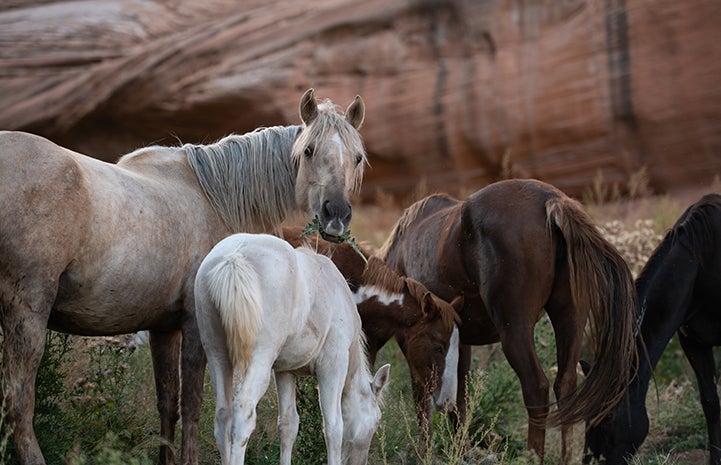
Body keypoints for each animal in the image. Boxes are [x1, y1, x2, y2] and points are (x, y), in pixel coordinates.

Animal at [0, 88, 366, 464]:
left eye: (357, 158)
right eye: (309, 150)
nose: (336, 216)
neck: (213, 197)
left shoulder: (164, 329)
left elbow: (167, 403)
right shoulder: (194, 326)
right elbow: (192, 404)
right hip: (26, 315)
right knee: (20, 404)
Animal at [191, 232, 388, 464]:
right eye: (377, 423)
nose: (361, 461)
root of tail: (234, 259)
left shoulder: (285, 370)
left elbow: (288, 424)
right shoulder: (333, 364)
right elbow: (334, 427)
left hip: (216, 352)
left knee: (223, 415)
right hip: (260, 358)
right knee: (243, 411)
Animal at [376, 179, 636, 464]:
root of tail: (551, 201)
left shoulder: (415, 345)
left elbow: (423, 397)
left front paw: (425, 453)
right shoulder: (458, 343)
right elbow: (459, 396)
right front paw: (461, 450)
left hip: (515, 333)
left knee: (536, 388)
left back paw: (532, 456)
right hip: (570, 322)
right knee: (565, 386)